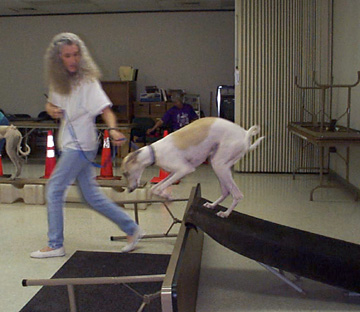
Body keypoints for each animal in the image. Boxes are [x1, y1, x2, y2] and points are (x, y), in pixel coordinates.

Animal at [121, 116, 264, 217]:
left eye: (125, 173)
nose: (129, 190)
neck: (153, 152)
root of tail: (245, 134)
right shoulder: (173, 172)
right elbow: (155, 187)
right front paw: (165, 196)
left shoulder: (184, 170)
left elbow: (158, 188)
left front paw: (167, 196)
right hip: (219, 165)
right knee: (226, 191)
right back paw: (212, 205)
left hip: (220, 166)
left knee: (237, 195)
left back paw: (225, 213)